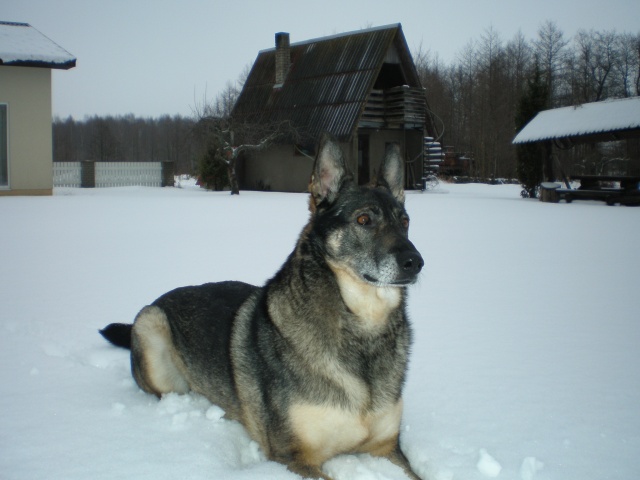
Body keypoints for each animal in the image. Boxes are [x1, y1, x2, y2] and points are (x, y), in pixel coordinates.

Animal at [100, 134, 424, 479]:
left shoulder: (387, 449)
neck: (364, 329)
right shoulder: (294, 456)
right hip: (152, 325)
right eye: (364, 220)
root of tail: (162, 297)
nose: (415, 262)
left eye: (405, 222)